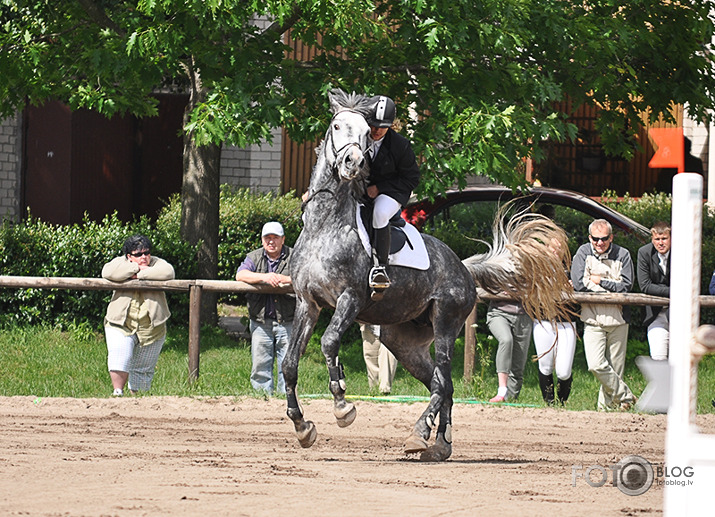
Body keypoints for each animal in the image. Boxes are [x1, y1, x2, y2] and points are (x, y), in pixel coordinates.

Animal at [282, 87, 568, 460]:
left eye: (366, 132)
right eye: (336, 126)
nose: (353, 163)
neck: (324, 226)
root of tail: (464, 268)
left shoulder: (350, 299)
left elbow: (329, 341)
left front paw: (343, 407)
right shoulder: (308, 303)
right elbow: (289, 363)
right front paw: (302, 427)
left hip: (446, 321)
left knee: (443, 382)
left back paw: (422, 435)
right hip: (403, 341)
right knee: (439, 383)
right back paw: (439, 442)